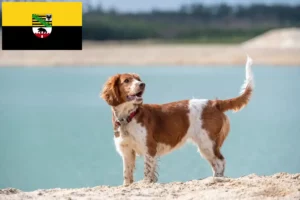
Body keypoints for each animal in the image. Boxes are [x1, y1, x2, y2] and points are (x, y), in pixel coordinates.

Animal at [100, 55, 253, 185]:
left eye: (138, 79)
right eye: (127, 80)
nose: (142, 84)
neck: (128, 117)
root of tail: (214, 103)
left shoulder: (149, 148)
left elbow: (147, 172)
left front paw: (146, 183)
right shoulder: (126, 151)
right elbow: (127, 175)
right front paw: (127, 185)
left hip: (207, 143)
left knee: (220, 161)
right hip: (206, 146)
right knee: (216, 164)